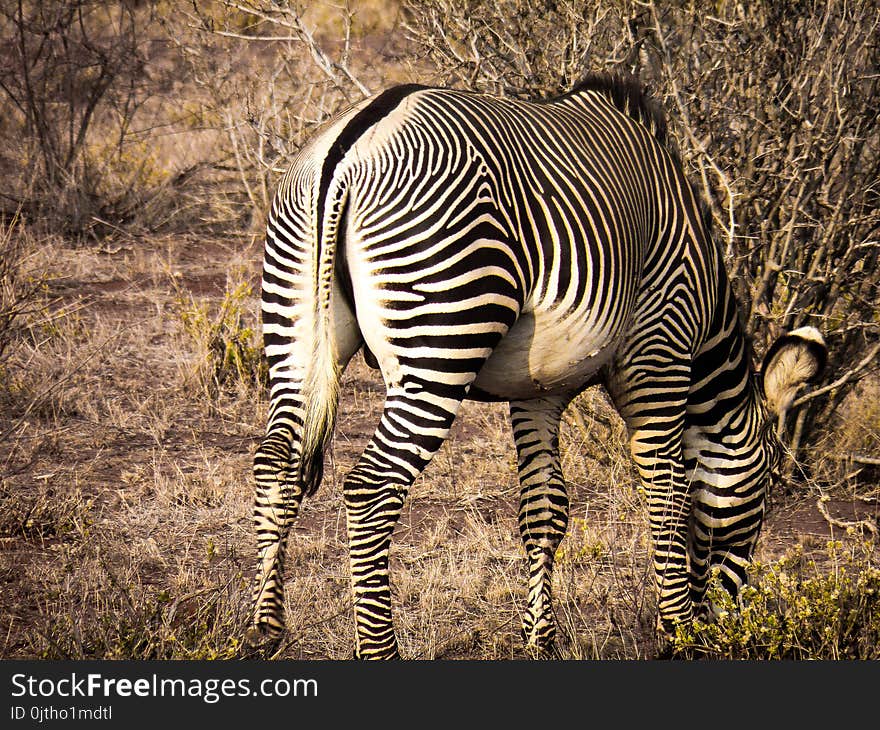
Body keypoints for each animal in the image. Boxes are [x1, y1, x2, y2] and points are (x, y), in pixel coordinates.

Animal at [246, 74, 824, 660]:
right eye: (765, 491)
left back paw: (263, 630)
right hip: (442, 335)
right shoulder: (659, 352)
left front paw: (540, 638)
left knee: (276, 465)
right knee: (371, 486)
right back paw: (380, 650)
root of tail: (352, 145)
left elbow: (545, 510)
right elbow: (668, 495)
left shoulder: (538, 388)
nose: (730, 629)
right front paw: (678, 632)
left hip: (294, 326)